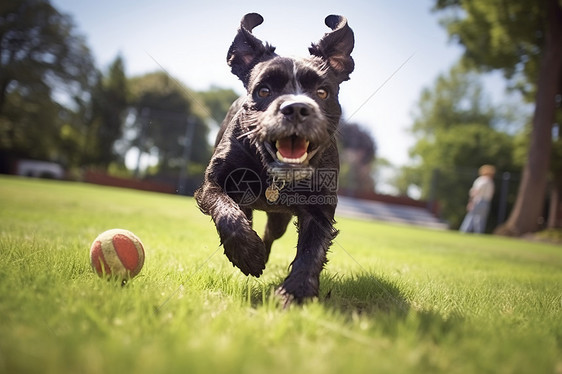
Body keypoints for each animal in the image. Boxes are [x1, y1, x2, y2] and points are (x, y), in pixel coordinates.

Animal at [195, 13, 352, 306]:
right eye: (264, 91)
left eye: (322, 92)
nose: (296, 107)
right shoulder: (213, 183)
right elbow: (227, 214)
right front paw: (247, 255)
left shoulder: (320, 208)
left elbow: (312, 250)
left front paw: (294, 292)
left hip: (279, 219)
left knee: (270, 235)